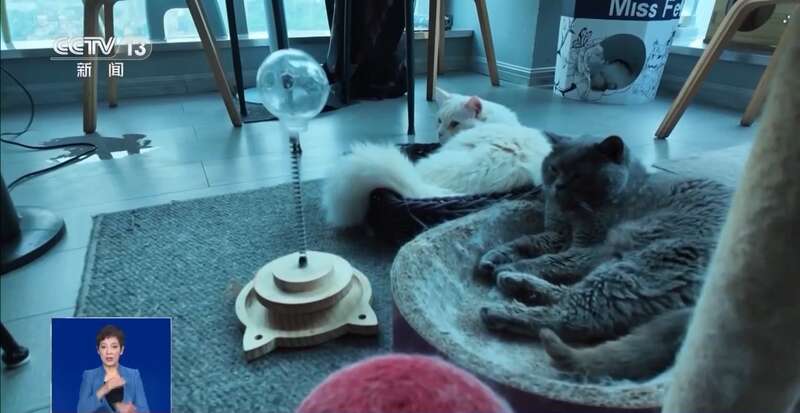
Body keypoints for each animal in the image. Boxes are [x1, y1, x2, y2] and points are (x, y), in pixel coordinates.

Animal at [476, 134, 732, 380]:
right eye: (554, 168)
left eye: (578, 175)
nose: (558, 186)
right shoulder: (556, 235)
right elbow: (524, 242)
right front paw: (492, 258)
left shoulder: (591, 247)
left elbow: (552, 260)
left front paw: (512, 265)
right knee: (567, 295)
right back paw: (516, 283)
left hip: (640, 267)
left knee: (573, 316)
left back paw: (500, 306)